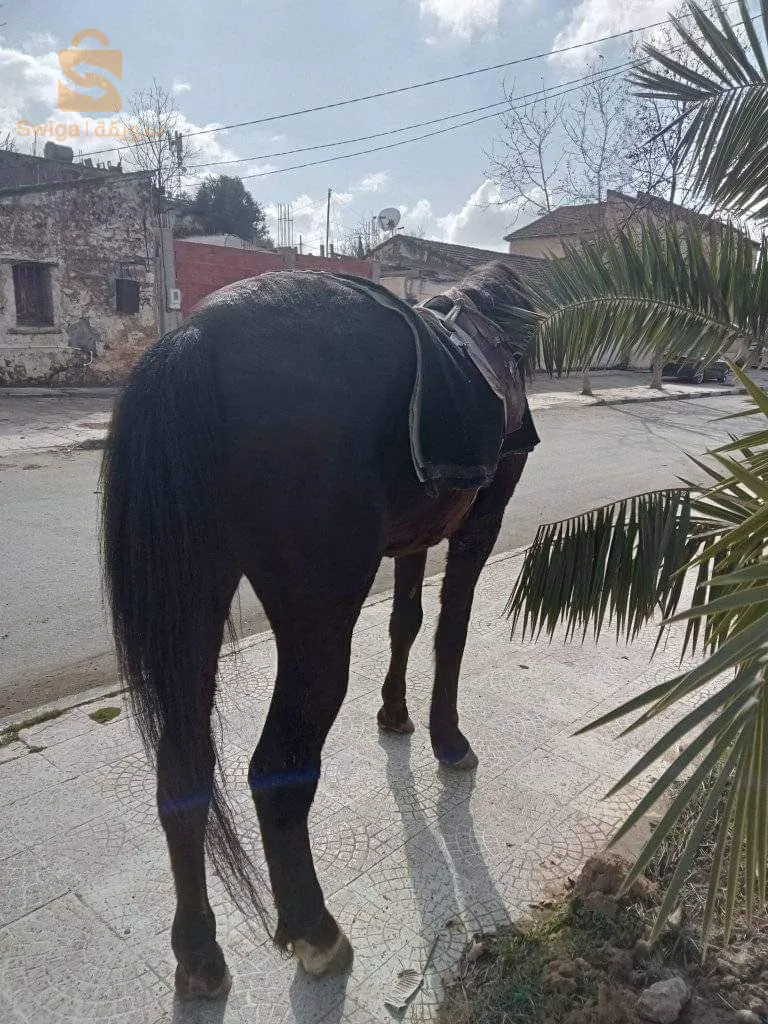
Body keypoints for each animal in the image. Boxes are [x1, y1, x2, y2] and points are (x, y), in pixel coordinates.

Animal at [100, 261, 540, 1000]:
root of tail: (193, 339)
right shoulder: (480, 522)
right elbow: (450, 631)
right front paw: (446, 736)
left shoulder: (413, 536)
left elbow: (405, 621)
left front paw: (394, 712)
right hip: (318, 624)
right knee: (277, 770)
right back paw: (314, 930)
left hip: (195, 602)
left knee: (183, 768)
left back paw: (198, 951)